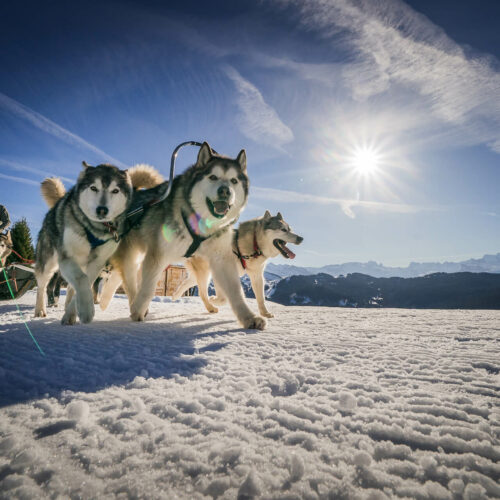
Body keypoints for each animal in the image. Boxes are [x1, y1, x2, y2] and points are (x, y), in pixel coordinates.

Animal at [99, 142, 268, 328]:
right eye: (213, 177)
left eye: (234, 180)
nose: (225, 191)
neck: (201, 222)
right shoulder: (158, 255)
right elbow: (148, 288)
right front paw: (138, 311)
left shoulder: (222, 258)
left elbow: (235, 292)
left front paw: (249, 318)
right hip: (132, 254)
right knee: (127, 281)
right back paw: (127, 304)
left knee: (118, 277)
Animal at [172, 211, 304, 316]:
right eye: (283, 230)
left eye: (290, 229)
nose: (301, 238)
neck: (255, 243)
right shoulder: (222, 272)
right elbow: (223, 298)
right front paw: (214, 299)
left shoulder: (256, 275)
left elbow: (261, 298)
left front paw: (265, 313)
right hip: (204, 273)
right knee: (202, 293)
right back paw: (211, 307)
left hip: (202, 274)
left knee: (185, 283)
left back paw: (175, 296)